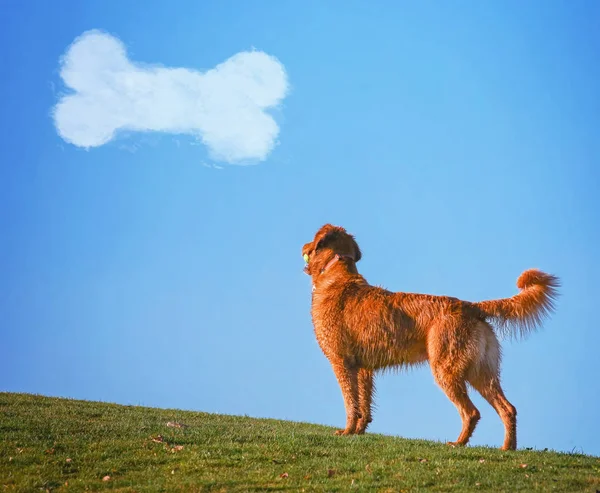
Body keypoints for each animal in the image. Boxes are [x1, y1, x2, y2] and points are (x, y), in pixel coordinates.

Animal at [302, 223, 560, 450]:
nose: (303, 246)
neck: (337, 275)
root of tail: (471, 306)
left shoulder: (342, 362)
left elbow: (350, 403)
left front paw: (346, 432)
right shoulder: (364, 369)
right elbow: (363, 405)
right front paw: (359, 431)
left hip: (447, 369)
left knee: (471, 412)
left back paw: (458, 444)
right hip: (482, 373)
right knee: (508, 409)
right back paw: (507, 448)